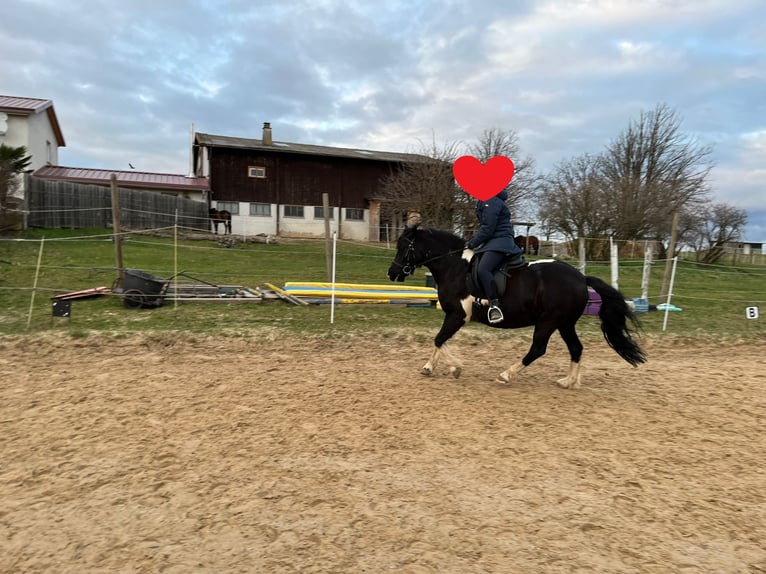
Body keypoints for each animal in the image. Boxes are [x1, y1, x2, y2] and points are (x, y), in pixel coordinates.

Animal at [388, 223, 644, 390]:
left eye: (404, 247)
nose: (392, 273)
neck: (455, 267)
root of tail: (581, 278)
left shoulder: (457, 315)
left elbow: (440, 338)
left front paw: (450, 367)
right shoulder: (454, 316)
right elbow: (441, 340)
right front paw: (435, 367)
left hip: (548, 322)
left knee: (537, 349)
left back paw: (505, 375)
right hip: (564, 323)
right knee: (576, 348)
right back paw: (568, 382)